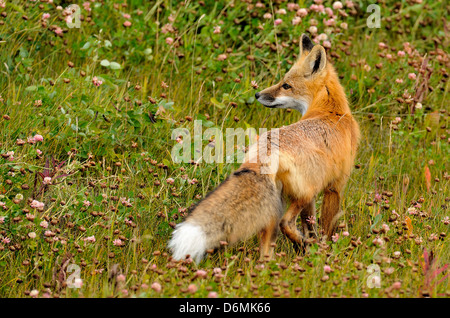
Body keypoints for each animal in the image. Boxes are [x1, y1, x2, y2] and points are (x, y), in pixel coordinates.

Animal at [167, 34, 360, 264]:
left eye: (286, 85)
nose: (258, 94)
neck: (331, 110)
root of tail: (264, 151)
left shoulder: (317, 196)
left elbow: (311, 225)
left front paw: (312, 252)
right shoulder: (335, 187)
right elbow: (325, 229)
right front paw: (321, 252)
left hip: (274, 205)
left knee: (267, 249)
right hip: (302, 194)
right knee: (286, 223)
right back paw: (301, 245)